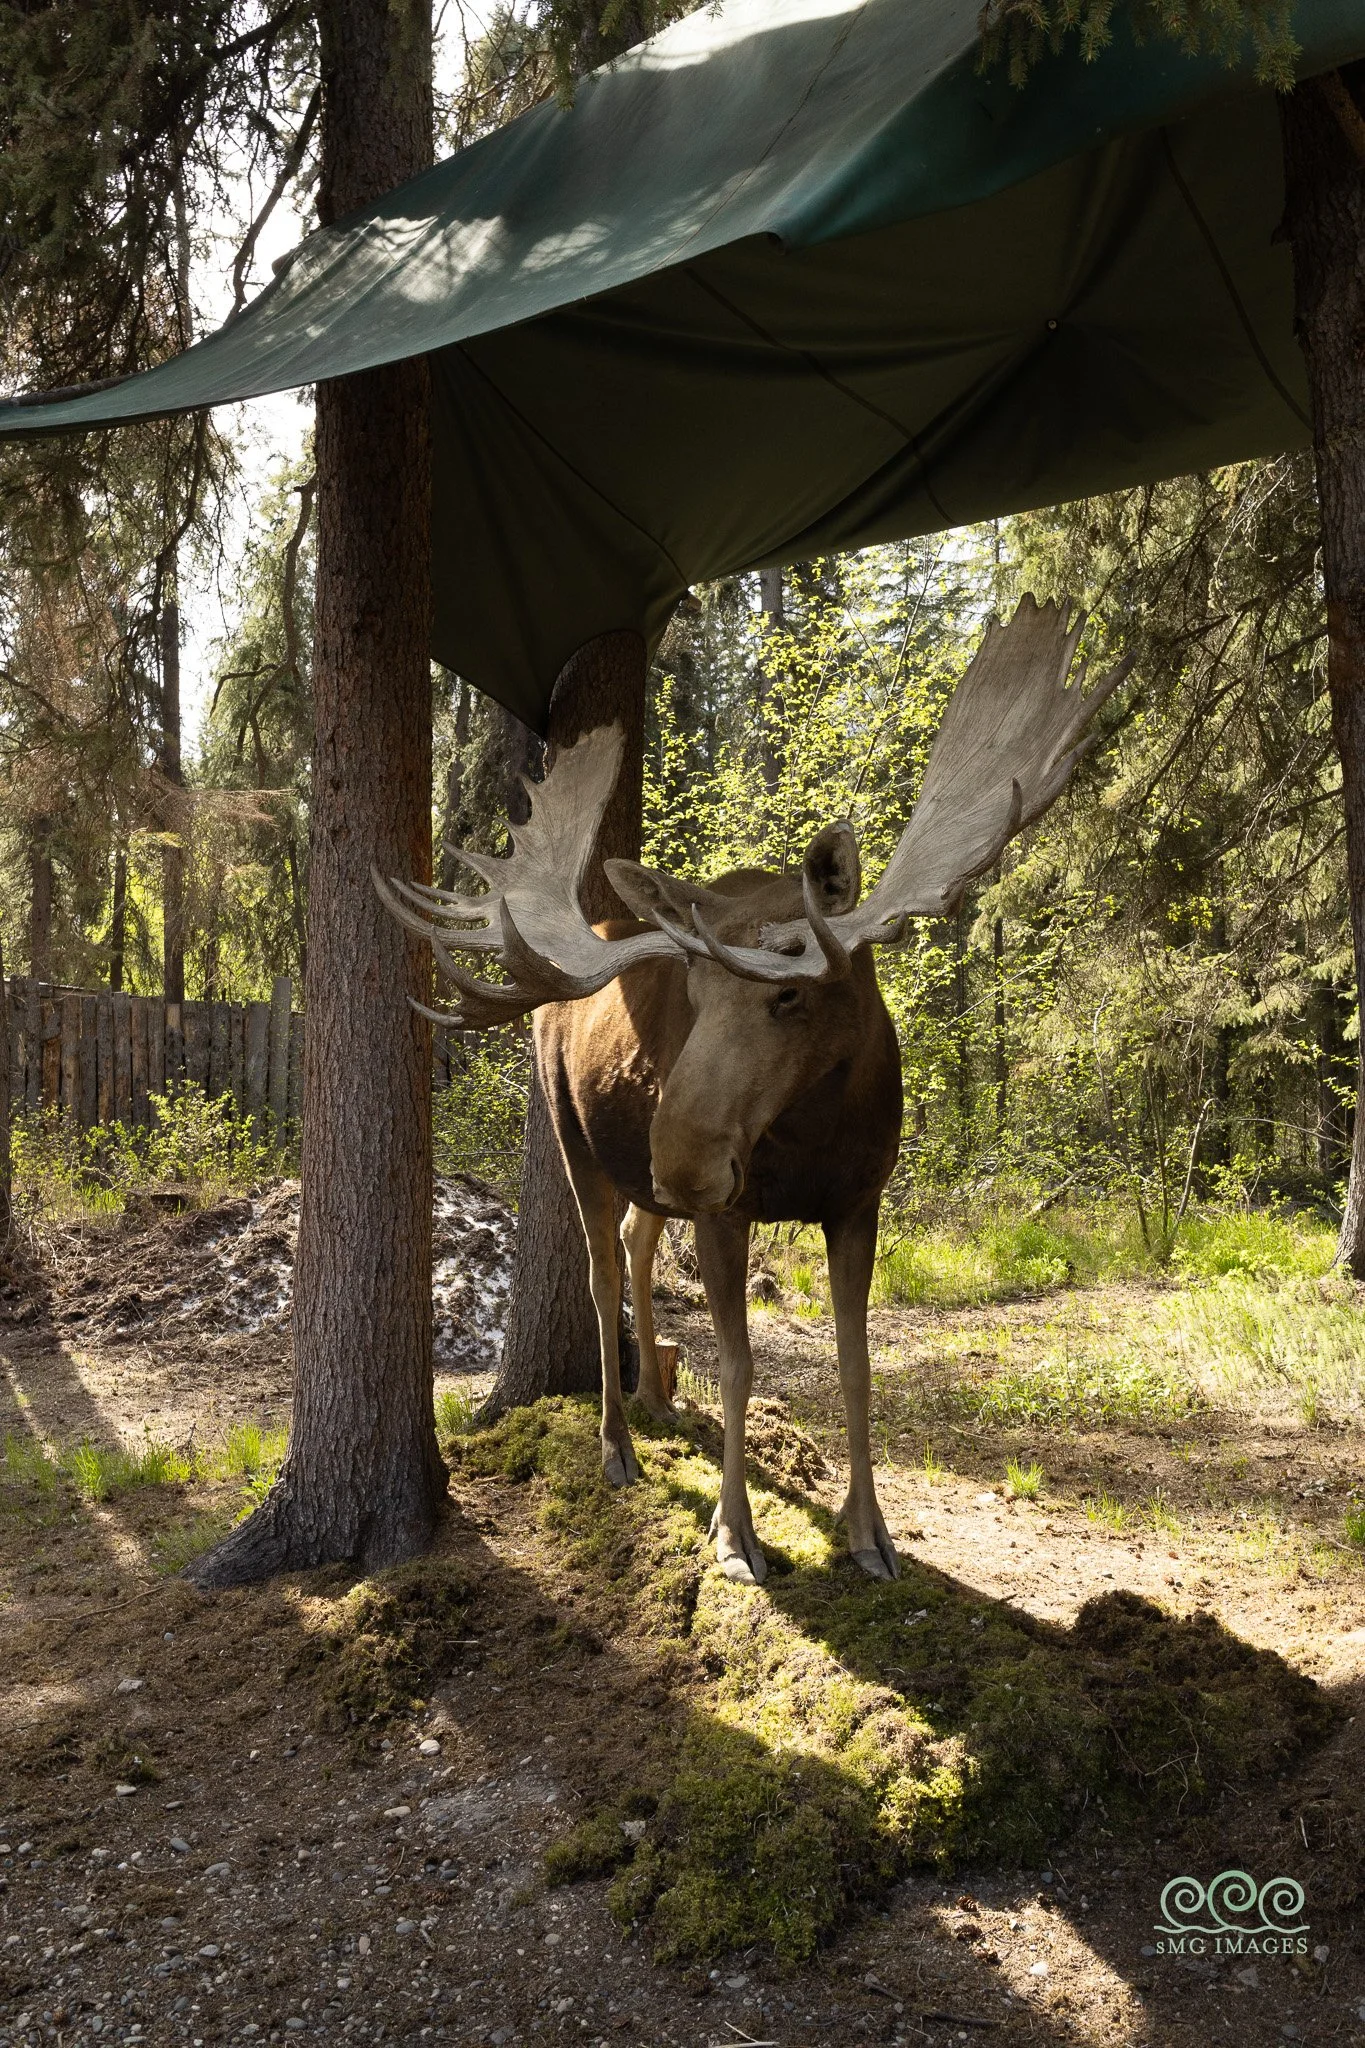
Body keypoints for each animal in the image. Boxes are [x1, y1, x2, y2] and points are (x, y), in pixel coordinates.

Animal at [377, 598, 1127, 1586]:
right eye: (692, 989)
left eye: (791, 992)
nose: (685, 1155)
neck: (812, 1134)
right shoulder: (727, 1213)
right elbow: (736, 1365)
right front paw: (735, 1534)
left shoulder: (858, 1200)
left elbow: (854, 1362)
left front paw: (868, 1531)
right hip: (580, 1147)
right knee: (601, 1269)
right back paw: (616, 1445)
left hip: (648, 1182)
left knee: (637, 1237)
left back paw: (658, 1401)